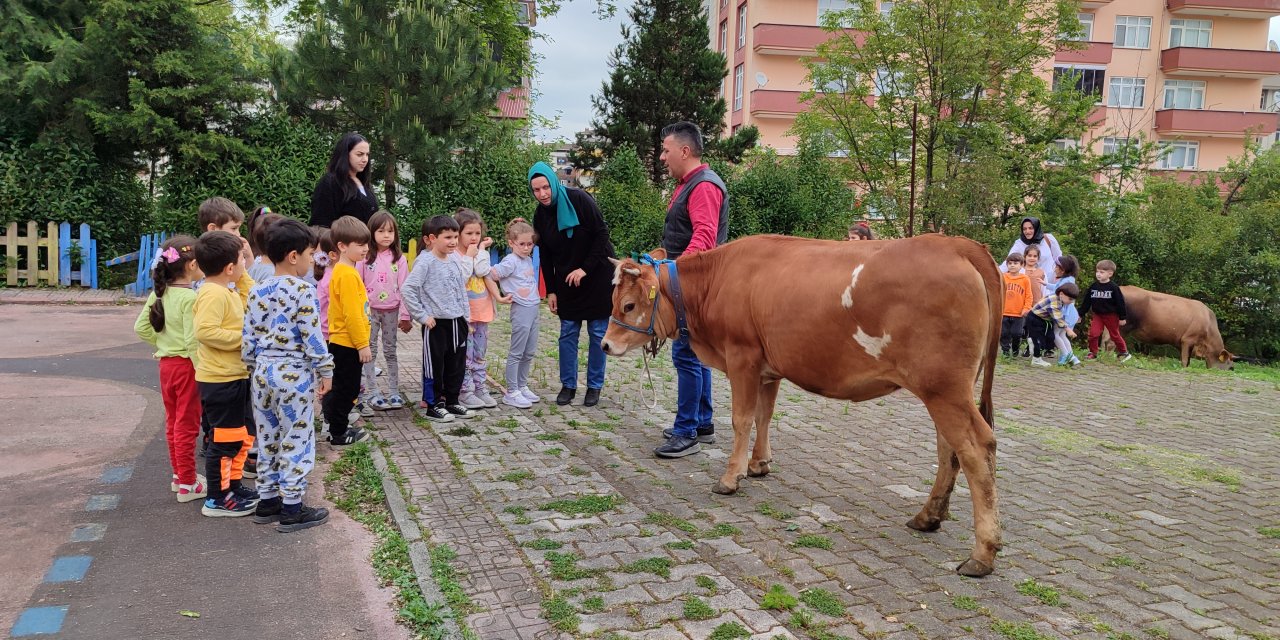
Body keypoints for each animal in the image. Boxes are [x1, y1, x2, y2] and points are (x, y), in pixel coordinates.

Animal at [604, 235, 1003, 576]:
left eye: (628, 305)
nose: (606, 345)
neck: (717, 282)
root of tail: (956, 244)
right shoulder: (769, 368)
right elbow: (764, 416)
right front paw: (759, 464)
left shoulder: (742, 357)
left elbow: (742, 419)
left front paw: (731, 477)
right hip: (945, 390)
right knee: (948, 448)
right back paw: (928, 517)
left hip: (944, 388)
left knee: (976, 447)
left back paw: (982, 553)